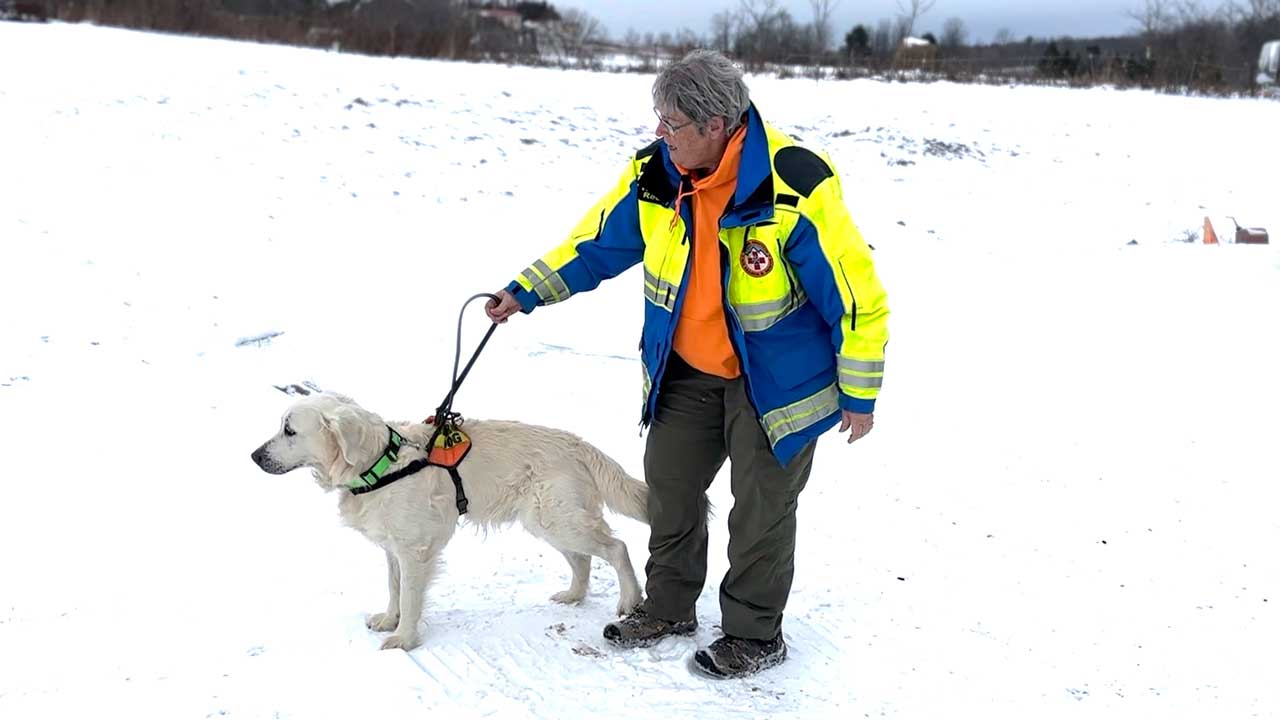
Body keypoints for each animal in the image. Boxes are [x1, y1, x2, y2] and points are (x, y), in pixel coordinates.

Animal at [249, 392, 650, 650]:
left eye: (289, 430)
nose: (254, 456)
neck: (380, 463)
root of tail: (579, 444)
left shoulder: (415, 551)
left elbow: (410, 597)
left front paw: (404, 639)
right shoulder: (393, 550)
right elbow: (394, 589)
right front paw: (389, 620)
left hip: (559, 519)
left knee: (617, 547)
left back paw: (630, 599)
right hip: (547, 521)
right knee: (582, 559)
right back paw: (573, 595)